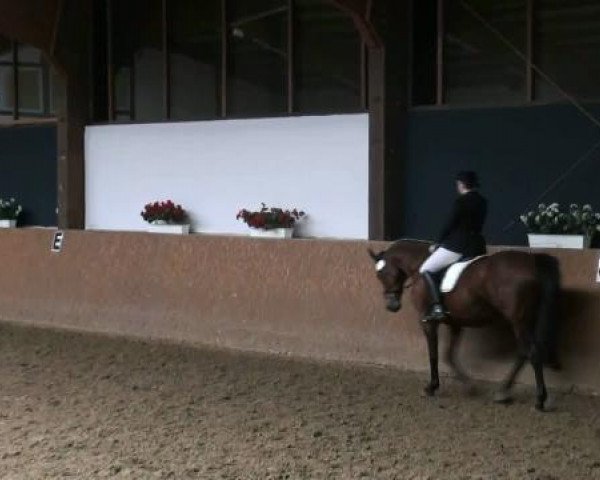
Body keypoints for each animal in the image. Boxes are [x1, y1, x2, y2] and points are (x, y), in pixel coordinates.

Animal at [368, 242, 560, 410]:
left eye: (380, 274)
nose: (392, 306)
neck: (419, 267)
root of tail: (531, 261)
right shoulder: (455, 322)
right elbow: (449, 355)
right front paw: (469, 386)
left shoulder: (428, 321)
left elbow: (433, 354)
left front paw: (431, 387)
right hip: (526, 320)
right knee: (524, 353)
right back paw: (503, 391)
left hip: (518, 320)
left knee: (531, 352)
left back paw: (538, 400)